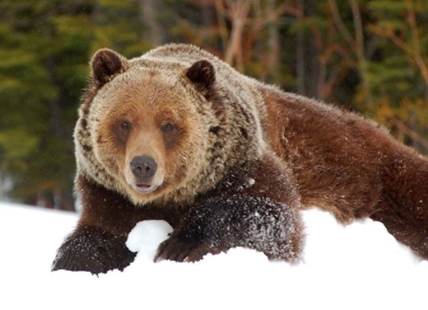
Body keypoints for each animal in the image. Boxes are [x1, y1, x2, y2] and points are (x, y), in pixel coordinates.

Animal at [52, 43, 428, 274]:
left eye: (169, 124)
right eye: (124, 123)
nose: (143, 165)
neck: (172, 197)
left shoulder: (244, 164)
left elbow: (266, 216)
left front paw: (179, 246)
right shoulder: (108, 195)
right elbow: (96, 239)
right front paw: (75, 265)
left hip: (357, 164)